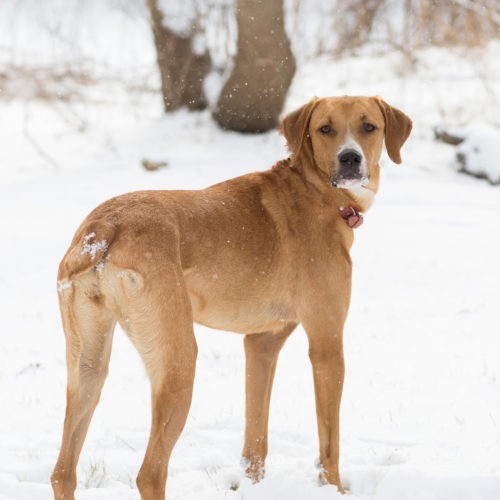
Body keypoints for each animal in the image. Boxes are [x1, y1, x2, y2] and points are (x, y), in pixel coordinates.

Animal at [50, 95, 412, 498]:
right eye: (325, 129)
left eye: (369, 126)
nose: (350, 158)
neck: (317, 189)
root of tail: (104, 229)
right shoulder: (327, 343)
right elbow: (328, 444)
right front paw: (334, 489)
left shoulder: (261, 344)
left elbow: (255, 441)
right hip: (178, 361)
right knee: (150, 472)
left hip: (87, 366)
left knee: (63, 472)